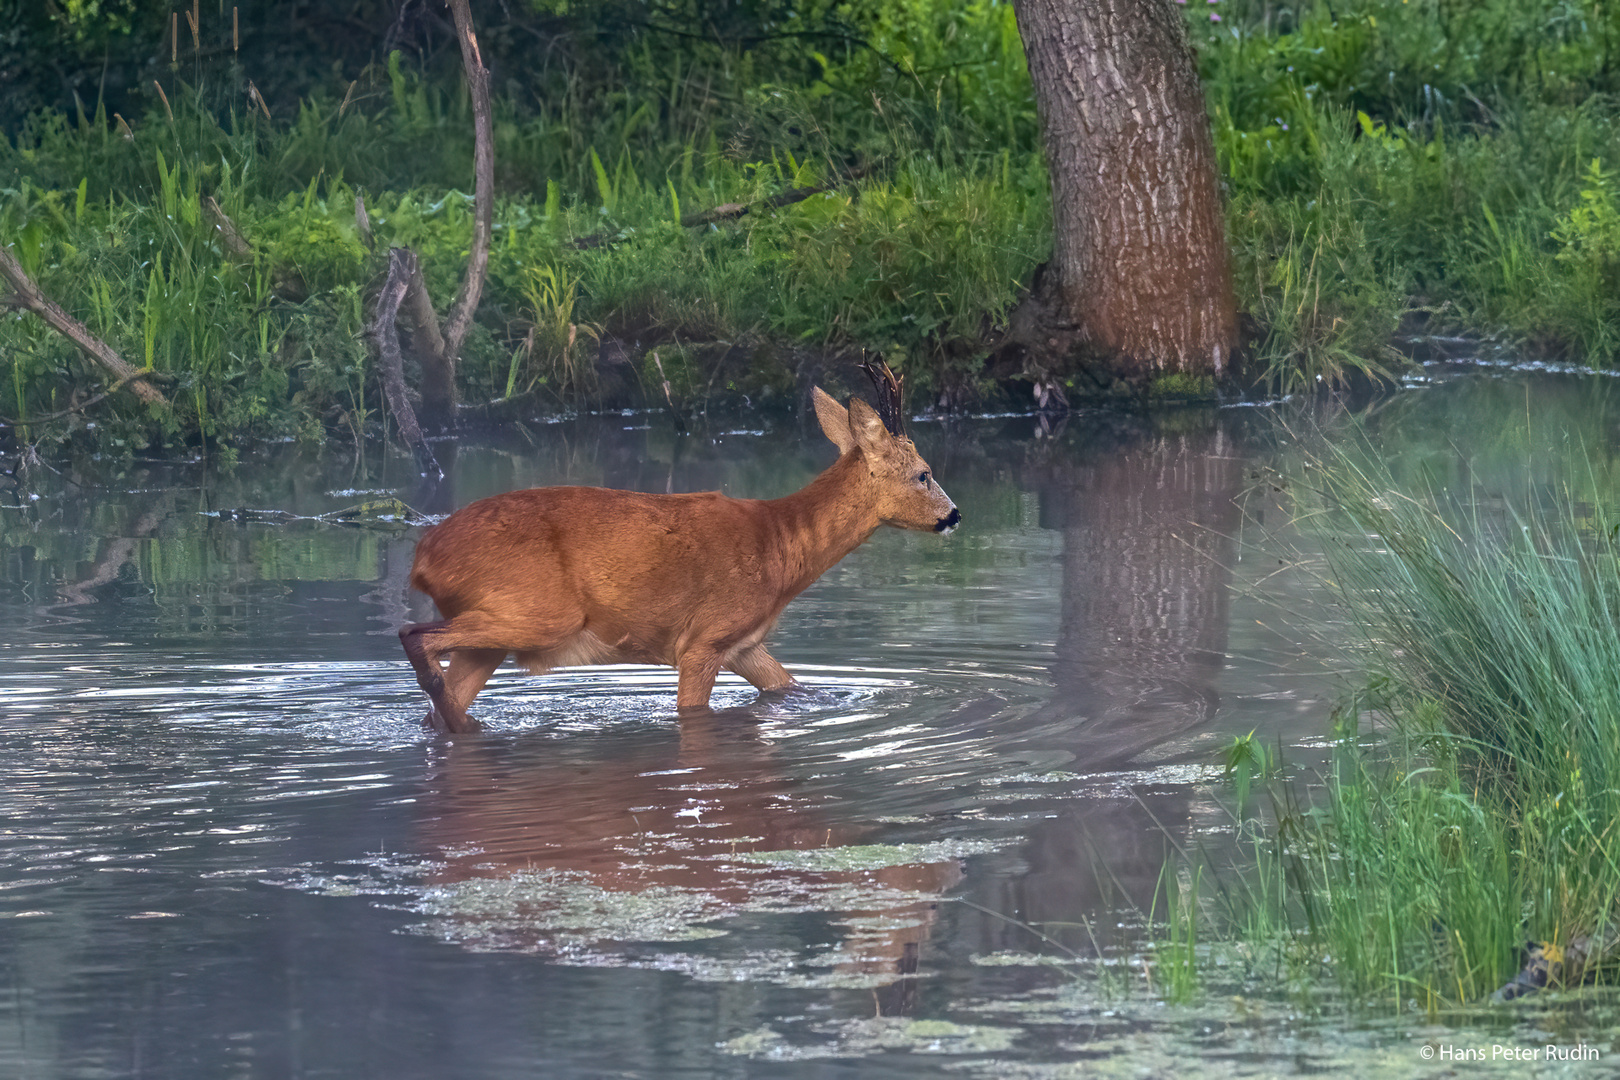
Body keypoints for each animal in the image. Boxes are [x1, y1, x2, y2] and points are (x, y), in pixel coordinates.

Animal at [400, 365, 952, 735]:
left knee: (435, 698)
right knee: (413, 636)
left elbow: (794, 689)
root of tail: (422, 557)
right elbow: (693, 712)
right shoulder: (704, 638)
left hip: (495, 634)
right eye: (924, 474)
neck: (781, 546)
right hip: (539, 611)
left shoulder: (744, 643)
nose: (954, 515)